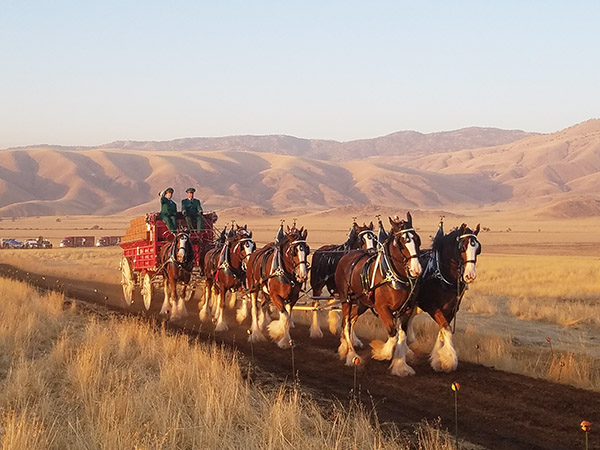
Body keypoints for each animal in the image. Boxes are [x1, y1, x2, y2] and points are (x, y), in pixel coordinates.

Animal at [332, 213, 422, 374]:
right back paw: (351, 355)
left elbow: (402, 336)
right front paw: (382, 352)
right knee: (345, 323)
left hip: (362, 303)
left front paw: (400, 366)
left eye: (417, 239)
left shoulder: (407, 309)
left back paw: (344, 346)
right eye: (401, 242)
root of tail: (346, 257)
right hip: (346, 299)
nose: (416, 270)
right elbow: (393, 335)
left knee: (351, 320)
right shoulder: (382, 308)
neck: (394, 276)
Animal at [408, 221, 482, 372]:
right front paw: (449, 360)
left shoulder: (452, 309)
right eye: (462, 247)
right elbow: (446, 329)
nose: (470, 276)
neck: (441, 274)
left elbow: (443, 330)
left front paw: (438, 359)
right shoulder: (431, 306)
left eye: (478, 249)